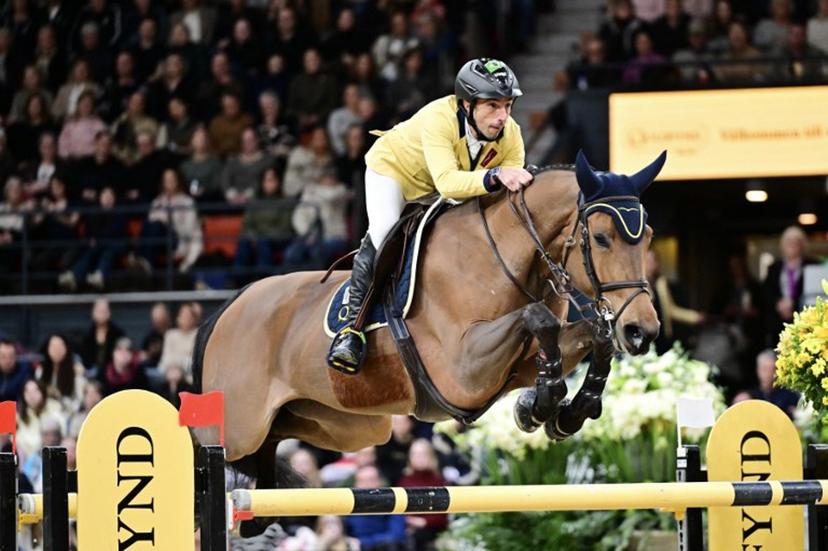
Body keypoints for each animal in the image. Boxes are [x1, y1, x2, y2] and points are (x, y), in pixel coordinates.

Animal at [192, 151, 664, 487]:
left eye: (649, 236)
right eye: (600, 238)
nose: (642, 331)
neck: (508, 259)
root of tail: (229, 306)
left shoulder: (518, 366)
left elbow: (592, 334)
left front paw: (561, 410)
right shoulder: (461, 371)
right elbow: (538, 317)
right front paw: (542, 404)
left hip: (349, 426)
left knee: (273, 440)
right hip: (237, 427)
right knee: (207, 454)